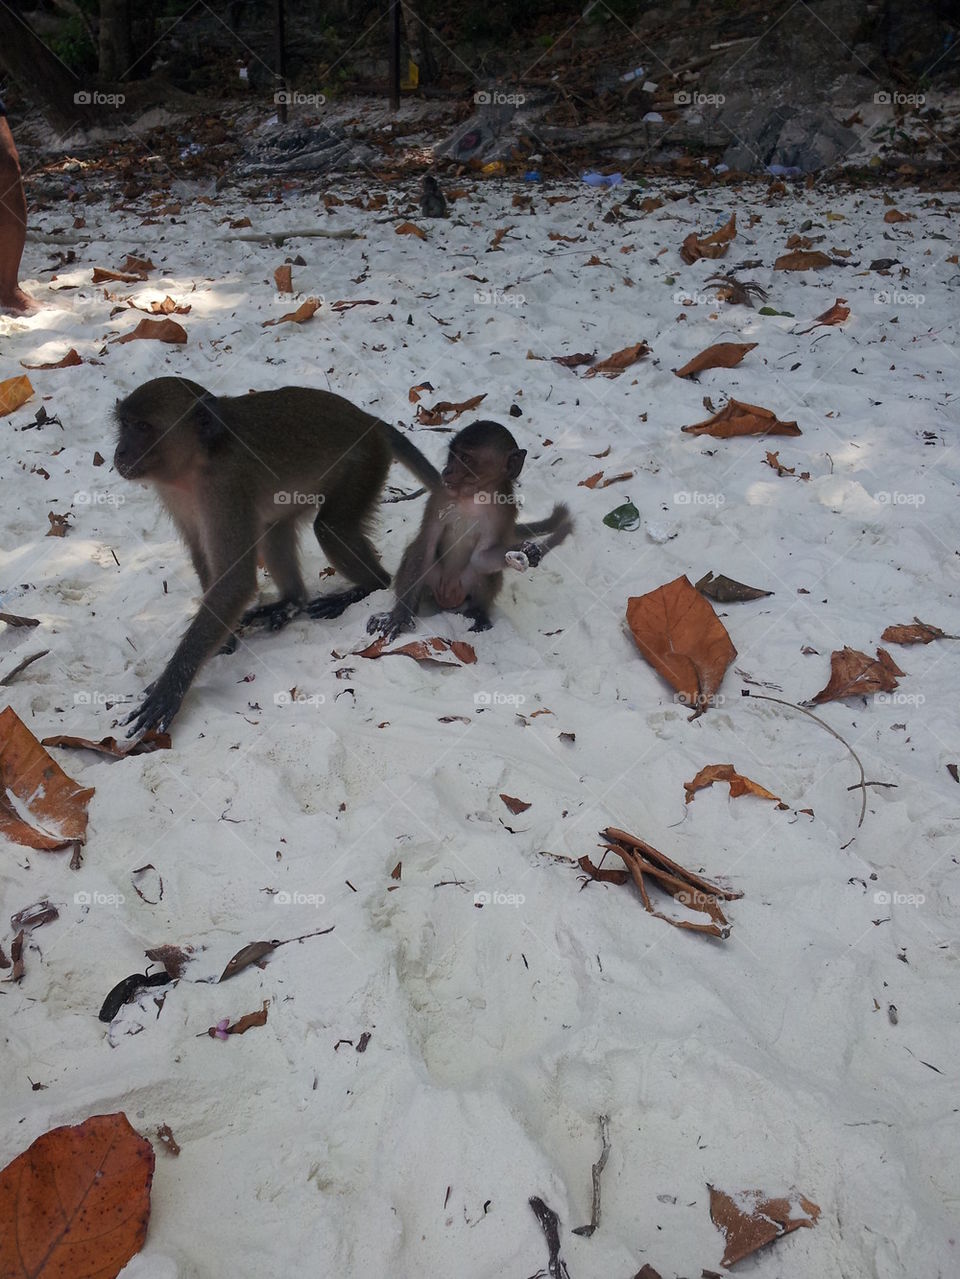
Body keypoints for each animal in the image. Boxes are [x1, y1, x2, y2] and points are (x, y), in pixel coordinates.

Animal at [113, 376, 442, 736]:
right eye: (125, 424)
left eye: (143, 427)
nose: (121, 451)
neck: (198, 461)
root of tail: (366, 419)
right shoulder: (175, 494)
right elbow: (204, 556)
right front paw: (224, 640)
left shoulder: (226, 486)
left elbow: (236, 582)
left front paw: (170, 687)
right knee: (274, 528)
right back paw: (290, 602)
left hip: (365, 463)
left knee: (330, 528)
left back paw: (362, 588)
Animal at [367, 420, 572, 642]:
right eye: (452, 455)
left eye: (465, 459)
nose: (446, 471)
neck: (474, 496)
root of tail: (447, 598)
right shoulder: (441, 498)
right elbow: (425, 546)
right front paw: (400, 615)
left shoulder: (504, 511)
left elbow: (481, 558)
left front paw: (529, 551)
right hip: (432, 584)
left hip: (464, 587)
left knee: (480, 571)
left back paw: (478, 613)